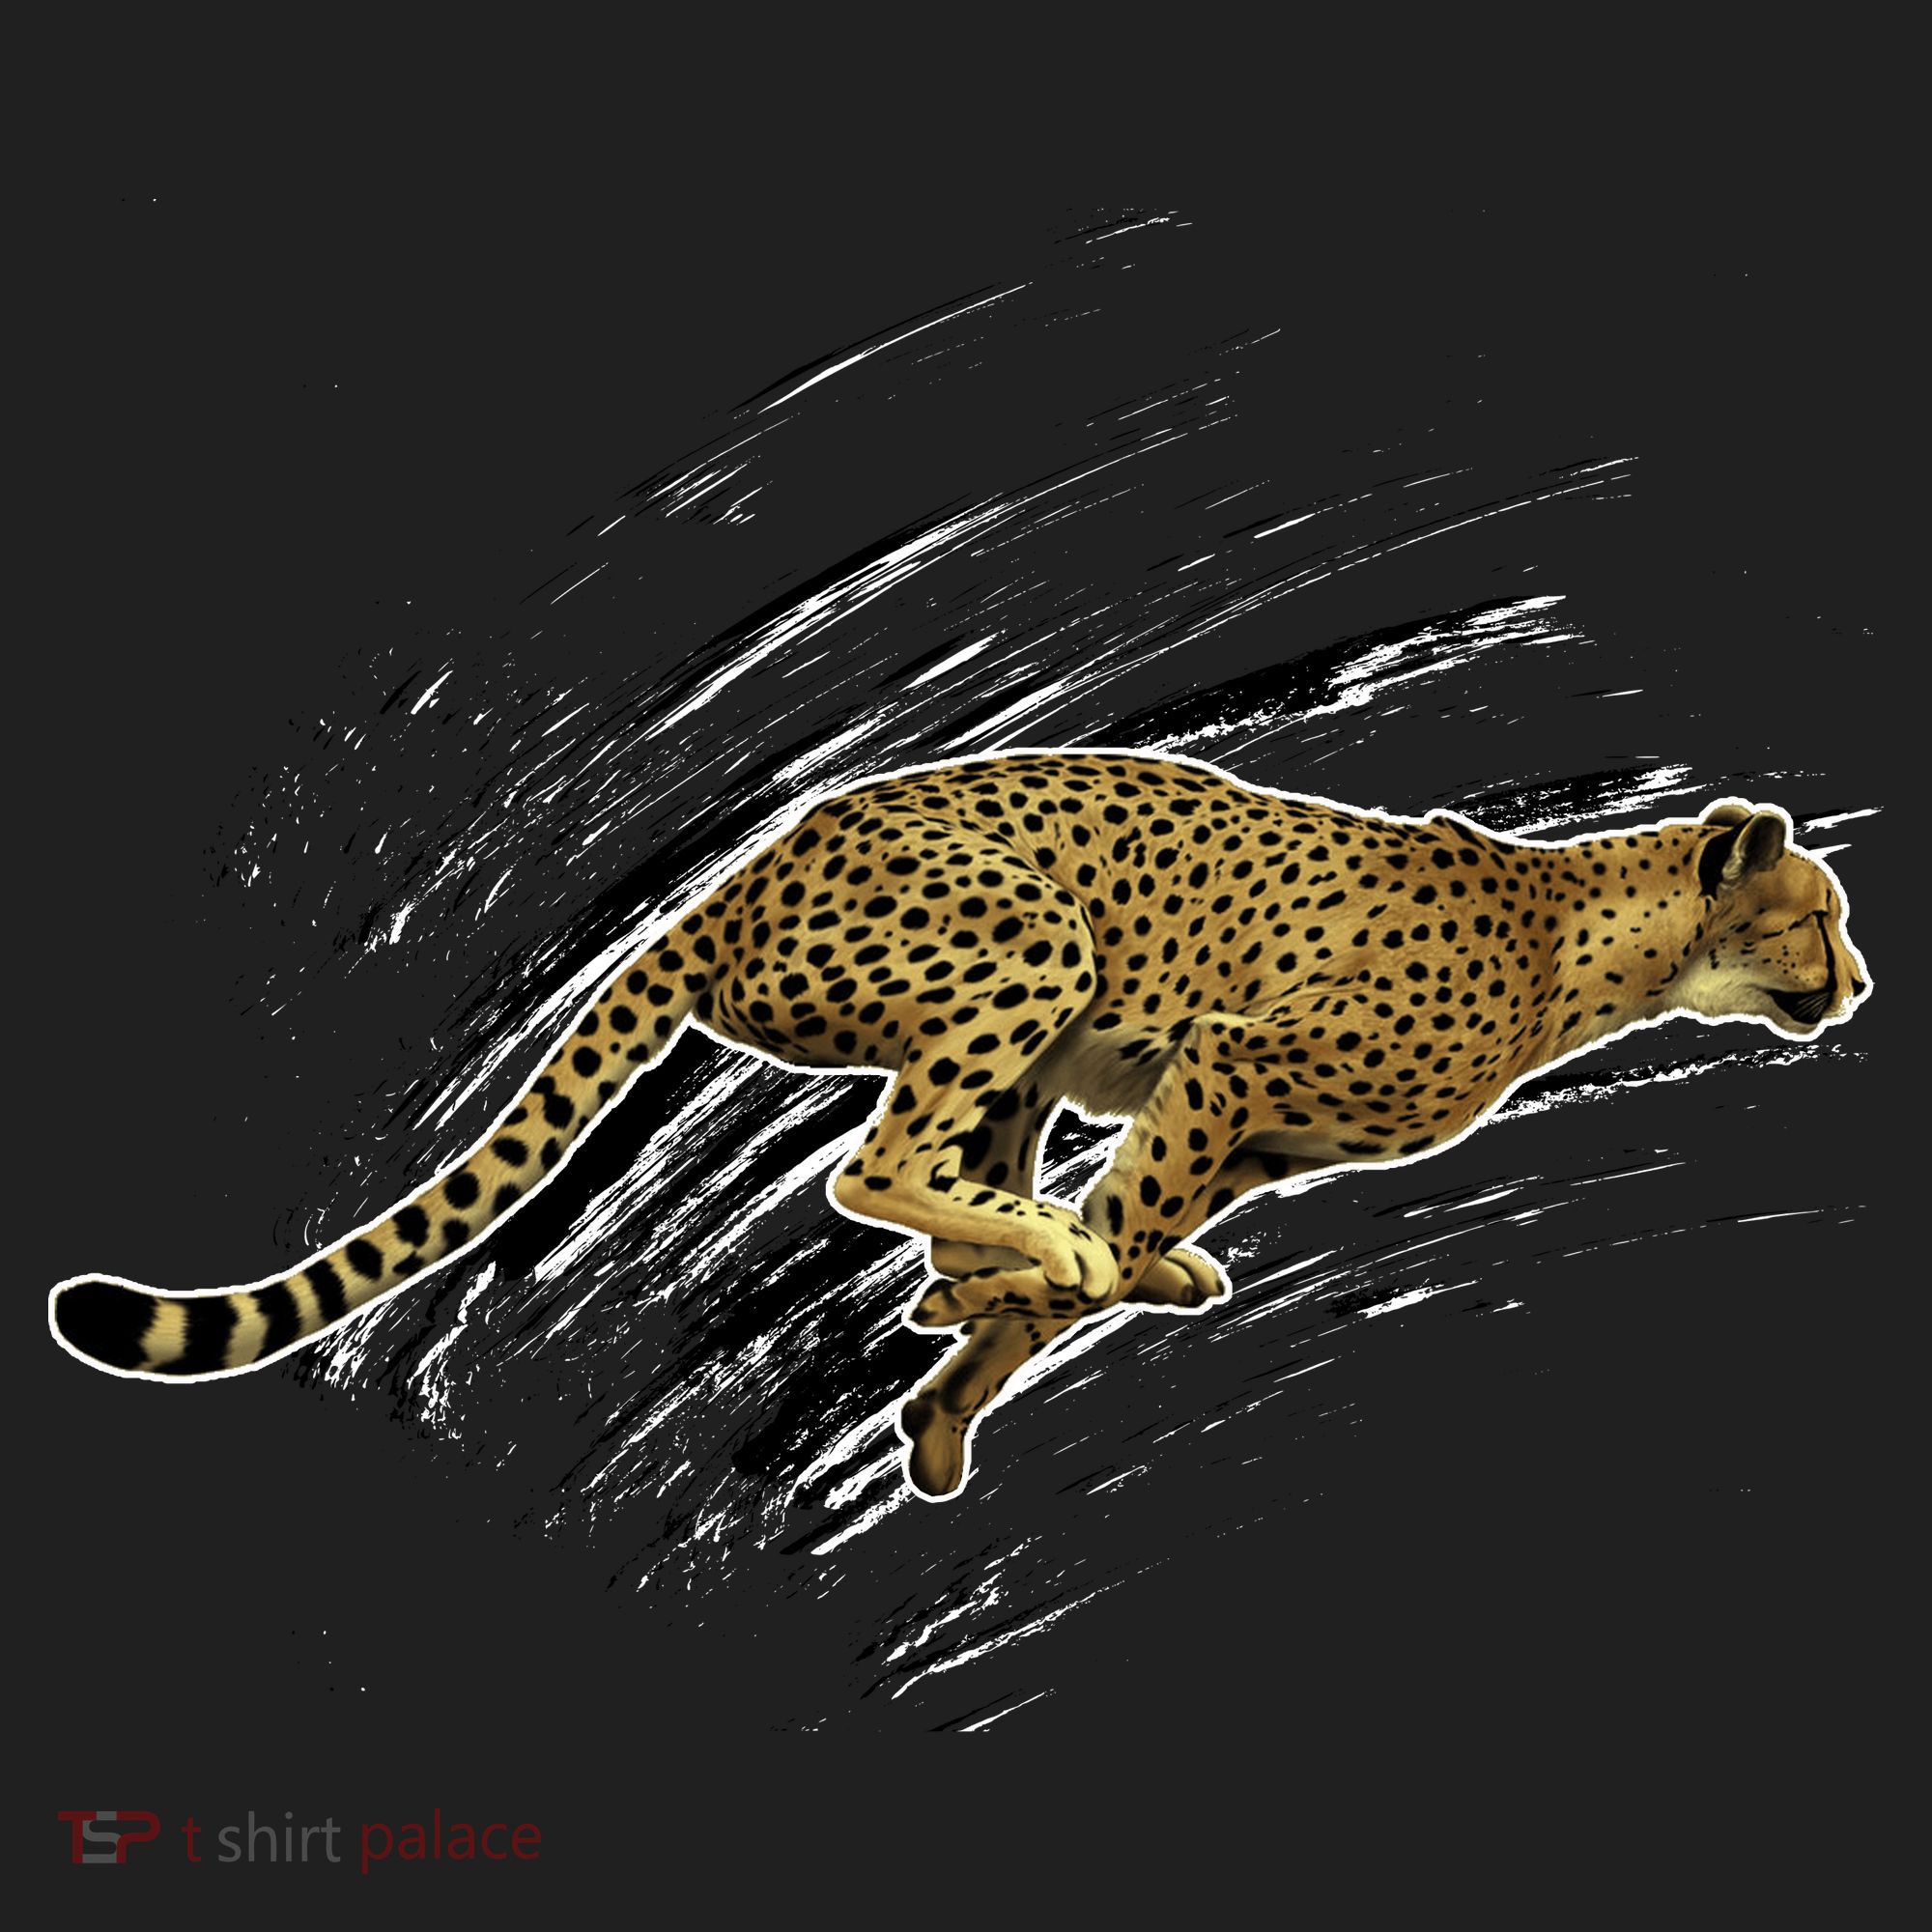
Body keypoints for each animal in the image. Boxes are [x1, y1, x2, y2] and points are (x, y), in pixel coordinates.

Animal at [49, 750, 1870, 1500]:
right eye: (1814, 919)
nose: (1859, 984)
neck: (1597, 941)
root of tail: (750, 867)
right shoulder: (1227, 1067)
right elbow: (1122, 1220)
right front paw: (1006, 1348)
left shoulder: (1224, 1113)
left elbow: (1113, 1235)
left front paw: (983, 1351)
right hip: (1029, 942)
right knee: (878, 1168)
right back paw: (1039, 1253)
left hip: (1033, 1037)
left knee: (950, 1180)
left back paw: (1013, 1264)